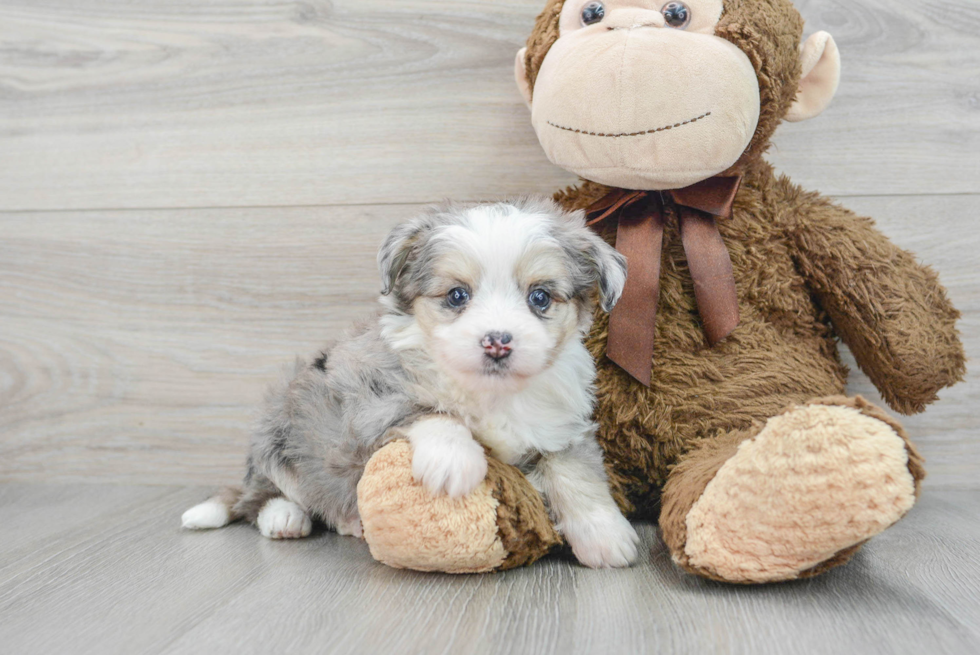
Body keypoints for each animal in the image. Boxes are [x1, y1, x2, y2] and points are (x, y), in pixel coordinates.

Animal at [182, 200, 644, 568]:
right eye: (457, 295)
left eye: (541, 297)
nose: (497, 341)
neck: (490, 392)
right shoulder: (369, 396)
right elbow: (430, 411)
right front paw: (453, 461)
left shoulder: (562, 426)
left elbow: (575, 472)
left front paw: (605, 535)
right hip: (279, 427)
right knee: (265, 494)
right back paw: (287, 517)